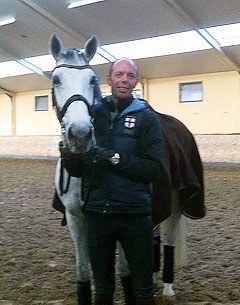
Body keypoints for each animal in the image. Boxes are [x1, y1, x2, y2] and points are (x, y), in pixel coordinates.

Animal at [50, 33, 204, 304]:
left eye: (92, 80)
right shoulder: (76, 219)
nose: (79, 135)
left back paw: (167, 287)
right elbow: (84, 272)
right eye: (56, 79)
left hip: (176, 202)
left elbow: (124, 271)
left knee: (169, 238)